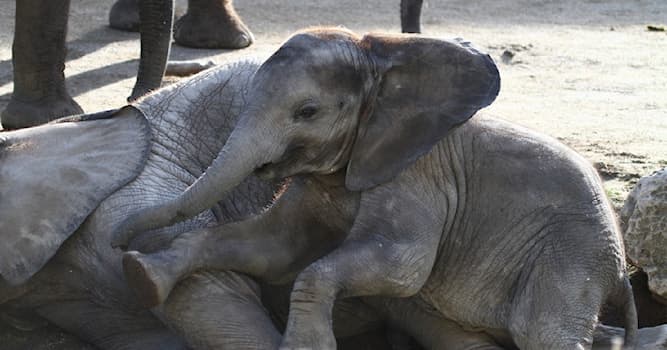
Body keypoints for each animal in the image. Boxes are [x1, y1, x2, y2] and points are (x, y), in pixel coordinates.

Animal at [113, 28, 636, 350]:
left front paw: (304, 347)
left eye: (307, 112)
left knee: (542, 334)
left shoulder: (418, 177)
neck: (381, 62)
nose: (117, 236)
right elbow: (273, 249)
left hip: (571, 254)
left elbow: (401, 266)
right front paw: (142, 276)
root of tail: (623, 268)